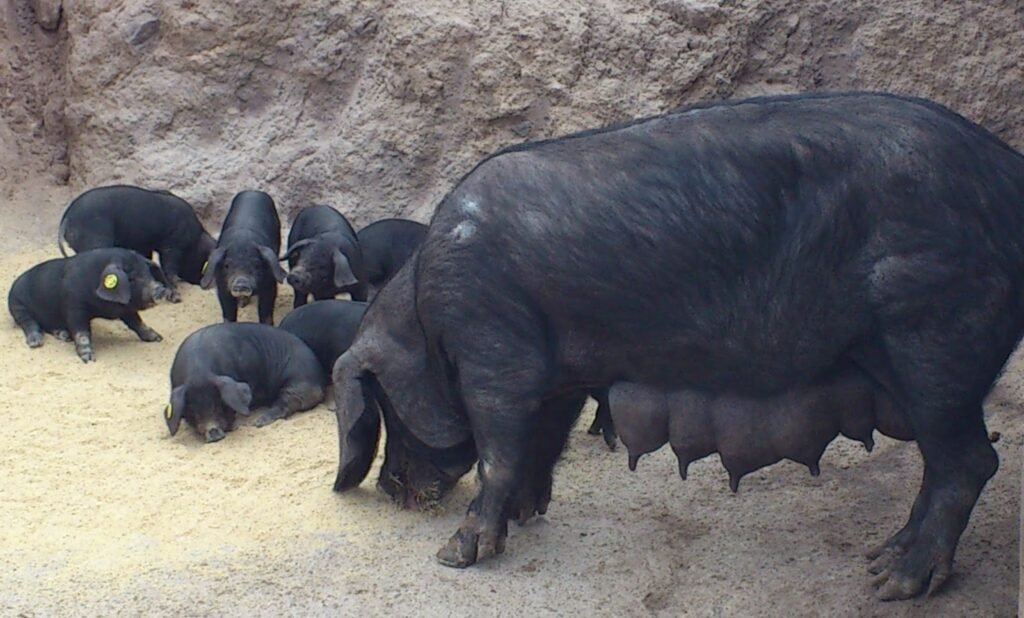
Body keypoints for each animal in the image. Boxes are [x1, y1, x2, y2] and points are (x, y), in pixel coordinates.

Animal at [9, 247, 169, 362]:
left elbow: (137, 323)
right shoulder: (73, 307)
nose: (160, 289)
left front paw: (158, 338)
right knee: (29, 323)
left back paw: (64, 336)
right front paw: (89, 359)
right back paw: (36, 343)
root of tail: (13, 285)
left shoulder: (126, 309)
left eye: (148, 273)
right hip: (18, 306)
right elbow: (82, 332)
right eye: (131, 278)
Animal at [57, 183, 215, 300]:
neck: (196, 238)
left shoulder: (144, 246)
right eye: (203, 261)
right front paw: (175, 296)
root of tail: (67, 218)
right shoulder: (172, 246)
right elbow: (169, 268)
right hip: (97, 241)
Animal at [163, 321, 323, 442]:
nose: (213, 432)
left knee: (285, 405)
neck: (198, 372)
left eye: (219, 404)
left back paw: (258, 422)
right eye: (192, 410)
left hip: (297, 385)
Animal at [199, 188, 288, 323]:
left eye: (257, 265)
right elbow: (228, 312)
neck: (242, 240)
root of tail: (253, 191)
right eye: (227, 265)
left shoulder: (271, 284)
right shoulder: (222, 286)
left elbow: (266, 312)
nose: (241, 283)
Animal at [329, 91, 1024, 597]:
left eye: (385, 406)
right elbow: (540, 442)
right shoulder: (555, 370)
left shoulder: (493, 348)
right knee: (948, 464)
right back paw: (883, 557)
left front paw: (452, 555)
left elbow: (498, 450)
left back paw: (891, 582)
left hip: (933, 335)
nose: (390, 488)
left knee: (968, 462)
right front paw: (527, 514)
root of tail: (1007, 172)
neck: (425, 310)